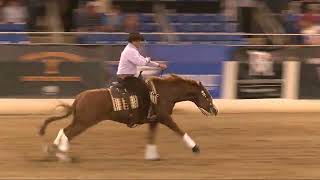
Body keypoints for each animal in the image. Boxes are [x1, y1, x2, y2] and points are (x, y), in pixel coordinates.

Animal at [37, 74, 218, 161]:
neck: (163, 93)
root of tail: (79, 98)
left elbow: (151, 136)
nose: (215, 110)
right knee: (67, 133)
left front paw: (152, 156)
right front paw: (195, 148)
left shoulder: (154, 119)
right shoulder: (164, 117)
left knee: (64, 130)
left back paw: (54, 151)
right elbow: (178, 130)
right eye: (206, 95)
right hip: (84, 122)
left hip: (80, 121)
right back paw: (63, 156)